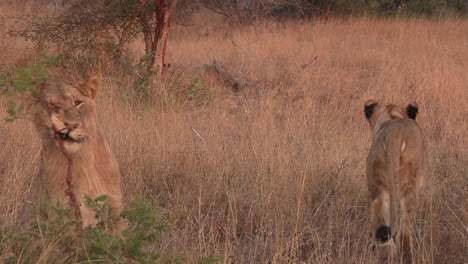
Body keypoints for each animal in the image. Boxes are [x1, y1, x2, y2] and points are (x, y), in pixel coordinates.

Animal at [364, 100, 426, 262]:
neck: (392, 117)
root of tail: (394, 135)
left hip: (378, 177)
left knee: (382, 222)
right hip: (411, 187)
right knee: (404, 233)